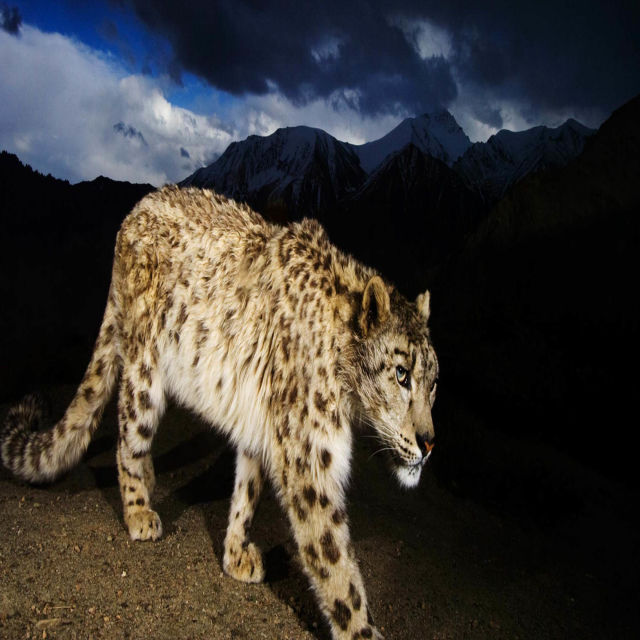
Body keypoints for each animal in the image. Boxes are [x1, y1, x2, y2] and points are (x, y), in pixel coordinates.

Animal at [1, 186, 438, 640]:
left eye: (434, 381)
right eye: (402, 374)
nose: (429, 443)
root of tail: (133, 213)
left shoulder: (261, 425)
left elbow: (247, 489)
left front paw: (235, 554)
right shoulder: (310, 461)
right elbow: (336, 564)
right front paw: (361, 629)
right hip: (144, 373)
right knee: (127, 436)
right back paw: (139, 510)